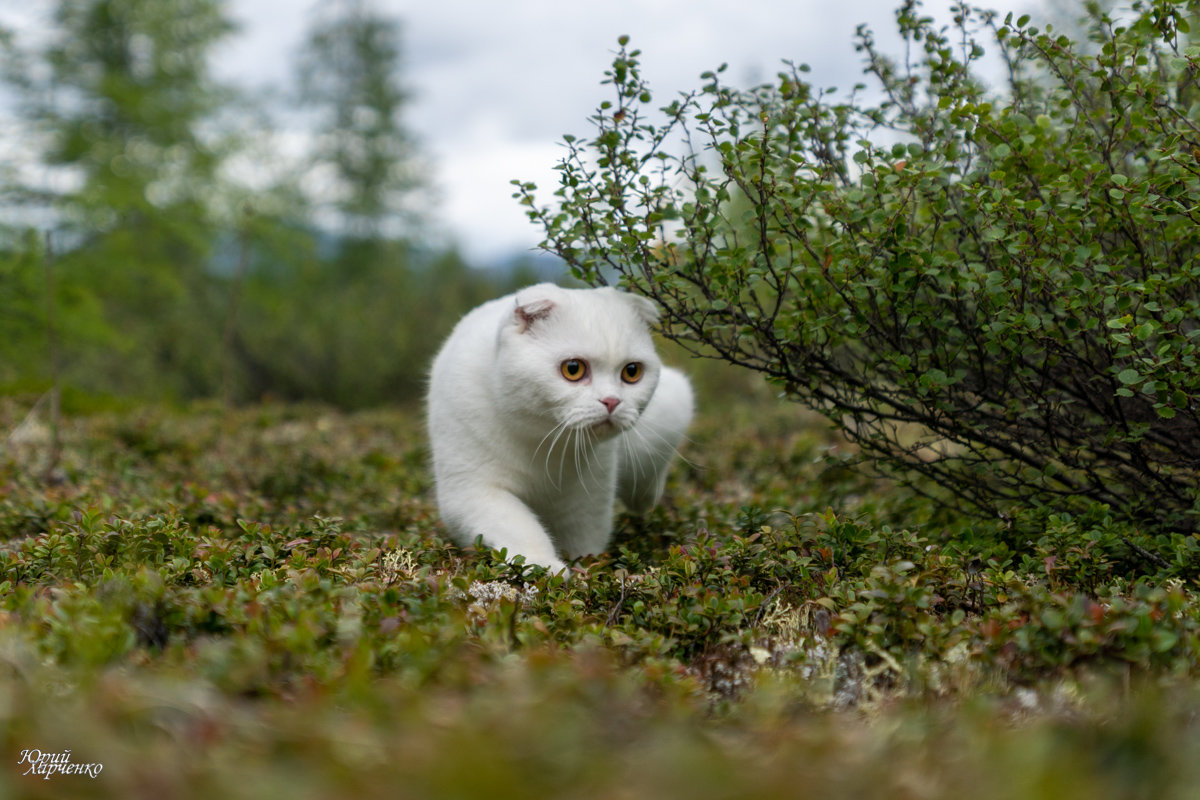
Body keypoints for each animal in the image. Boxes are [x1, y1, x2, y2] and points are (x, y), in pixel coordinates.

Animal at [429, 284, 696, 573]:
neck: (542, 441)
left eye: (632, 372)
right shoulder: (470, 489)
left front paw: (585, 569)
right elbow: (517, 524)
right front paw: (542, 564)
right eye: (573, 369)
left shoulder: (588, 497)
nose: (612, 401)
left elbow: (586, 539)